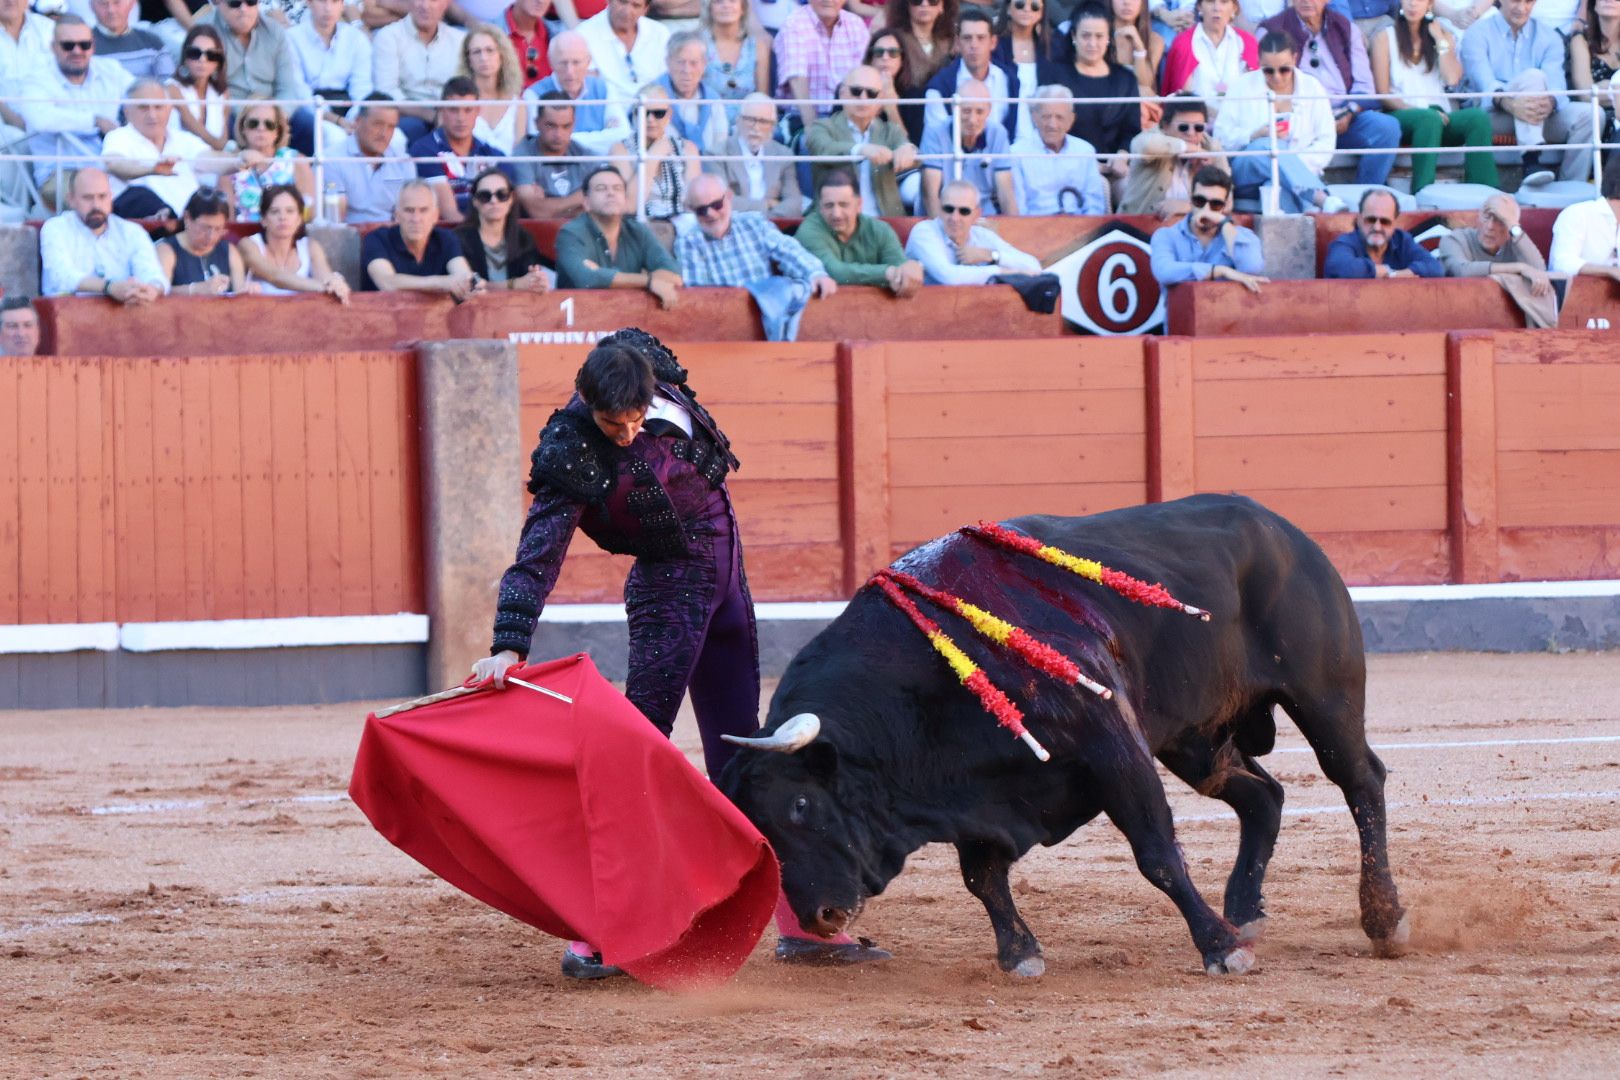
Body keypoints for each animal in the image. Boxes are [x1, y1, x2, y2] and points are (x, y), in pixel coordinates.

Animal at [719, 498, 1406, 977]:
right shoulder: (973, 790)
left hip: (1323, 695)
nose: (819, 917)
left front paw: (1217, 951)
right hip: (1196, 741)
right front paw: (1019, 954)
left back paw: (1382, 918)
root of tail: (1281, 528)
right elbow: (981, 877)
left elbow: (1157, 854)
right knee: (1263, 796)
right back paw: (1244, 912)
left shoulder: (1114, 747)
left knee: (1360, 782)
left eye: (801, 804)